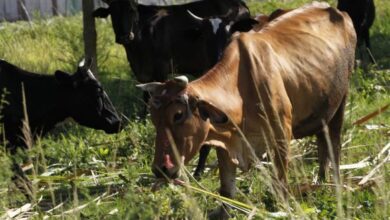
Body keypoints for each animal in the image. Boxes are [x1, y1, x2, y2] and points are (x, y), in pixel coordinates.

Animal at [138, 2, 356, 217]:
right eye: (154, 119)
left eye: (178, 115)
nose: (161, 169)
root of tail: (336, 11)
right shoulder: (225, 144)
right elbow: (227, 193)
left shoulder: (281, 136)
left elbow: (281, 188)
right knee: (322, 142)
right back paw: (320, 181)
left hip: (341, 100)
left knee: (334, 145)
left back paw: (334, 185)